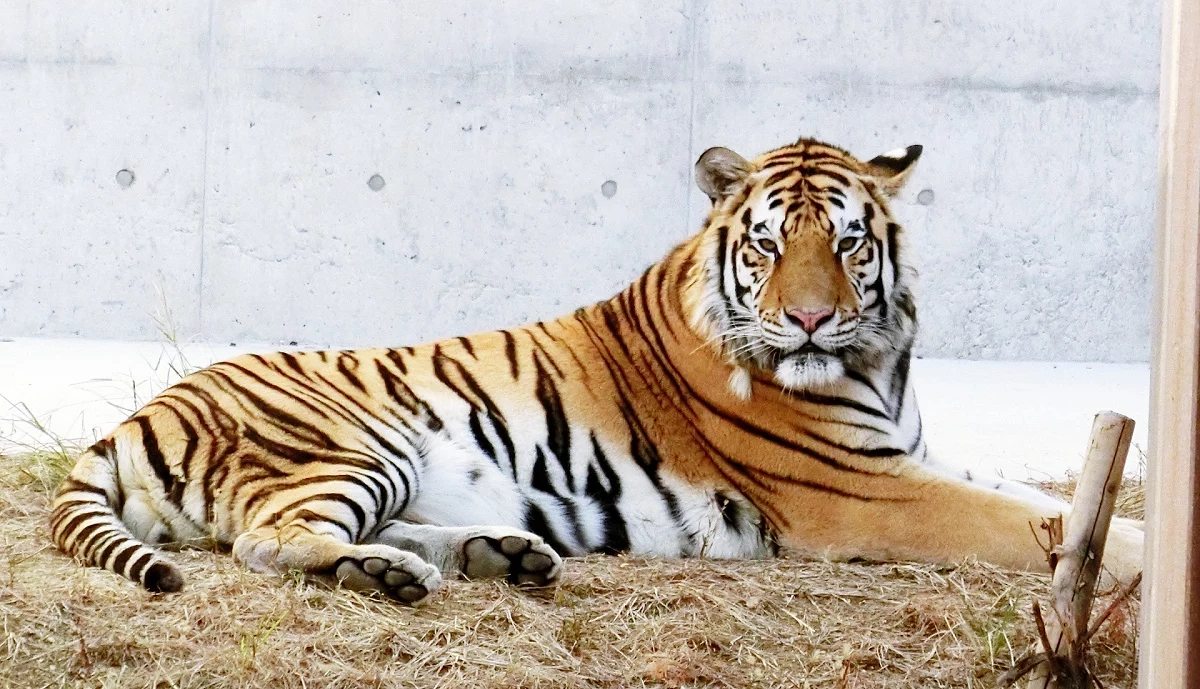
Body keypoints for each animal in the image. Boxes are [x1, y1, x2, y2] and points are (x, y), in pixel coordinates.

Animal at [49, 136, 1144, 603]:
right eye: (768, 243)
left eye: (845, 240)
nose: (810, 318)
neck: (879, 360)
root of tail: (136, 413)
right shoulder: (862, 491)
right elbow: (1027, 523)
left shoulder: (906, 455)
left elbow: (1051, 505)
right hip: (350, 440)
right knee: (268, 540)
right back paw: (391, 575)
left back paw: (501, 553)